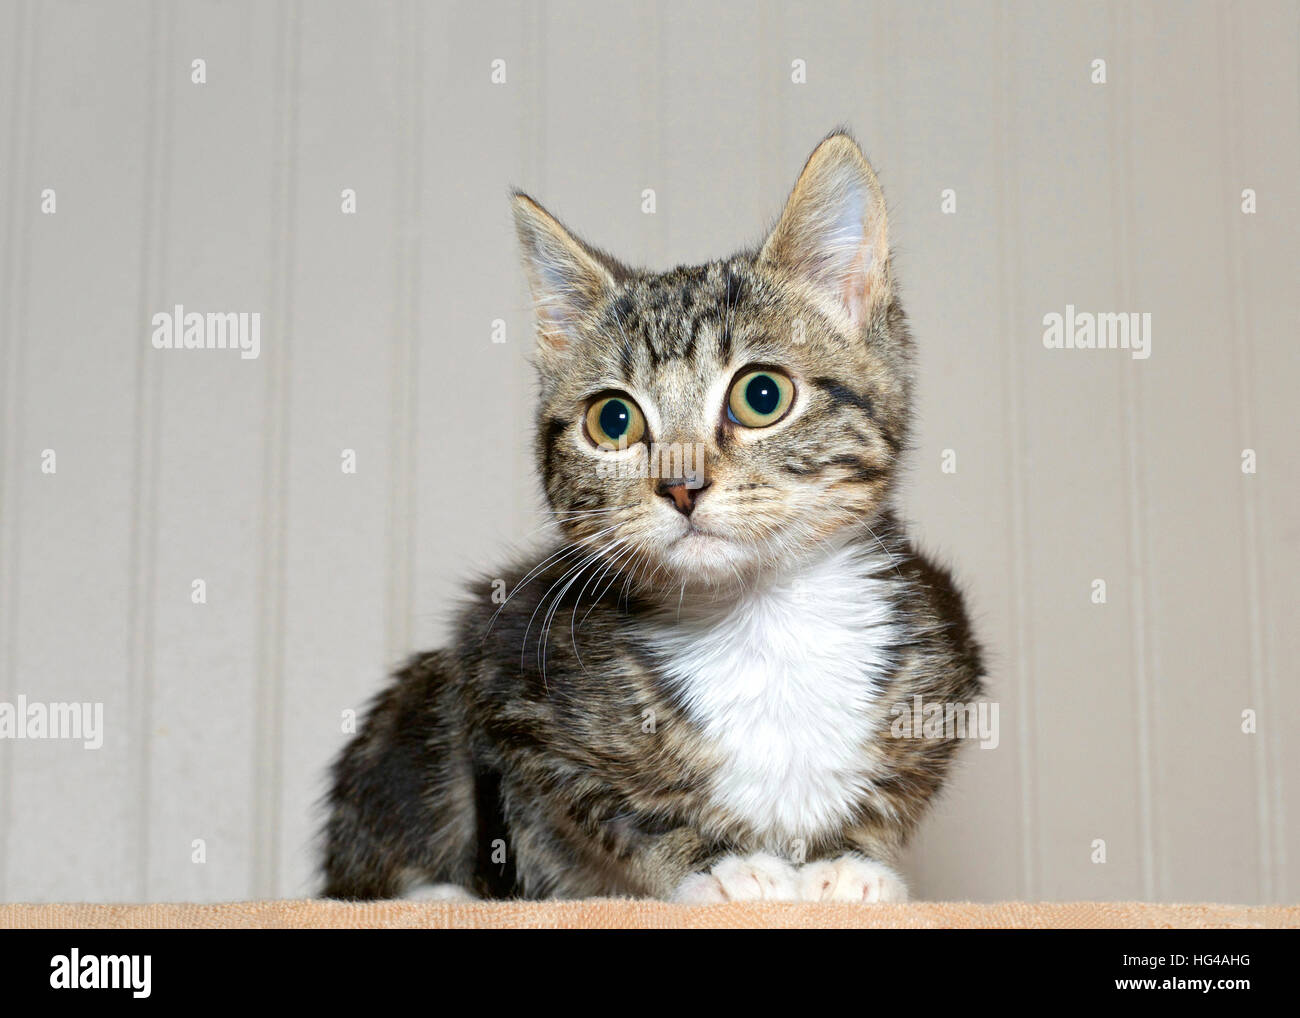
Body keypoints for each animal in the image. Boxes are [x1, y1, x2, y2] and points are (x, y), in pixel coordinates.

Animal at [319, 131, 977, 904]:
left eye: (762, 395)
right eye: (613, 420)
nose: (682, 486)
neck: (758, 620)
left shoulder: (944, 661)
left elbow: (897, 790)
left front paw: (853, 862)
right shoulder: (507, 679)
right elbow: (612, 813)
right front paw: (720, 866)